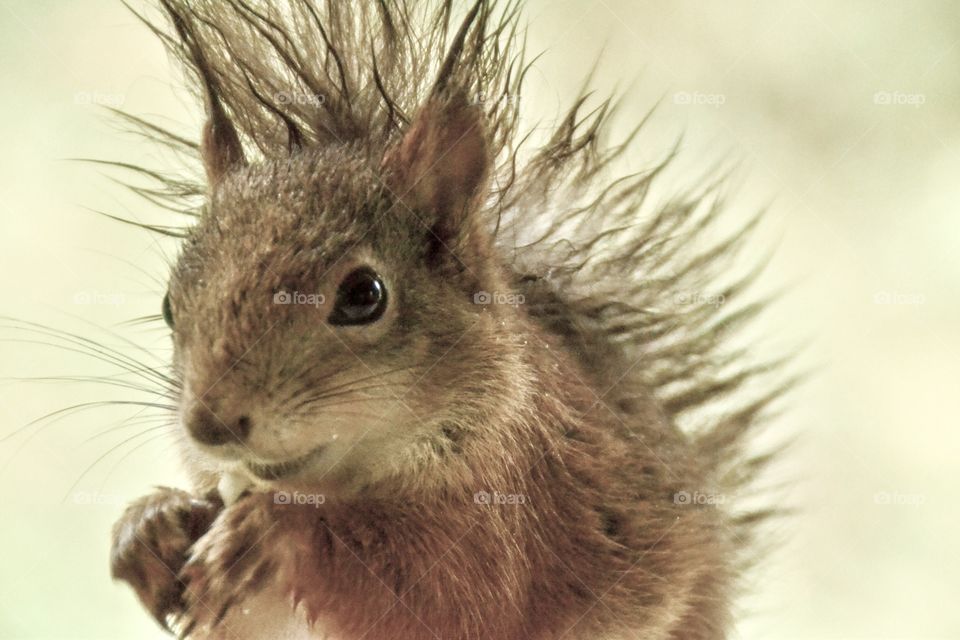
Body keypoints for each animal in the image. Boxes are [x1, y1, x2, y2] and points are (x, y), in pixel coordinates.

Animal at [108, 1, 786, 639]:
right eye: (168, 304)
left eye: (364, 296)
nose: (209, 423)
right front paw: (151, 526)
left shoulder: (517, 500)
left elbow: (451, 599)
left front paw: (276, 531)